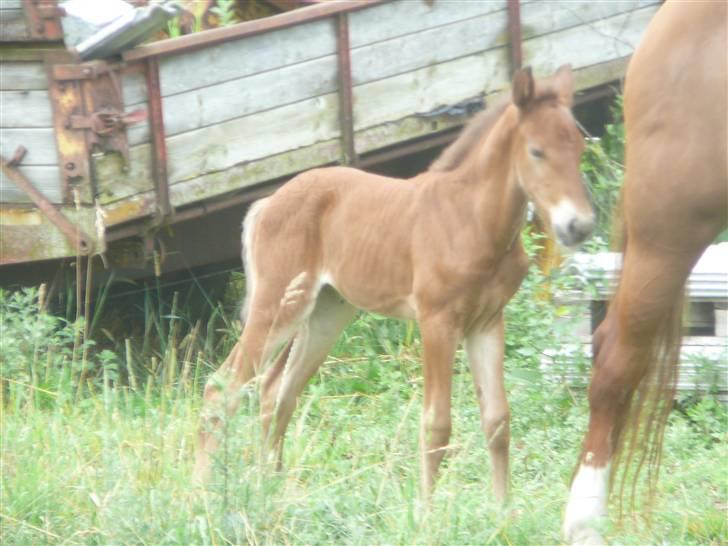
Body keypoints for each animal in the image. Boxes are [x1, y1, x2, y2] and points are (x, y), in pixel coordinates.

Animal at [195, 67, 596, 502]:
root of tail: (266, 203)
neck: (471, 219)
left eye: (579, 146)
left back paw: (272, 489)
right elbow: (437, 425)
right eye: (537, 152)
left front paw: (502, 510)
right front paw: (425, 511)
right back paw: (205, 494)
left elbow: (497, 420)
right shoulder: (436, 321)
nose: (578, 225)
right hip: (279, 306)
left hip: (325, 312)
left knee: (277, 391)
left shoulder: (488, 321)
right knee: (222, 386)